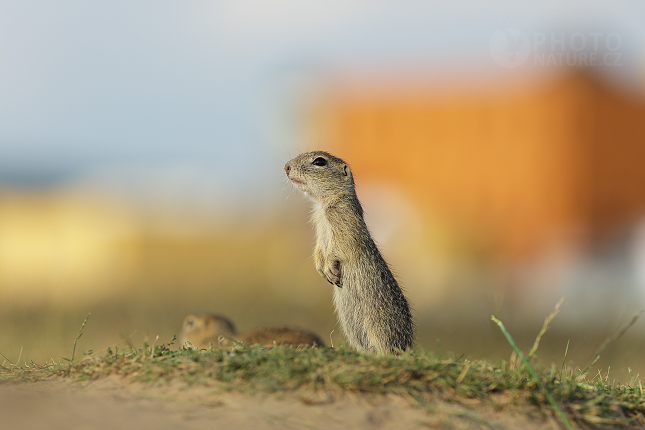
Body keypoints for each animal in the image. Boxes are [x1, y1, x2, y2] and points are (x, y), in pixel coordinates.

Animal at [284, 151, 412, 352]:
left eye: (319, 161)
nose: (286, 167)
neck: (324, 205)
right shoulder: (319, 229)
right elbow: (318, 249)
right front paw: (321, 269)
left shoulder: (345, 227)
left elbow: (338, 248)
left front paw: (329, 269)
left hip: (379, 326)